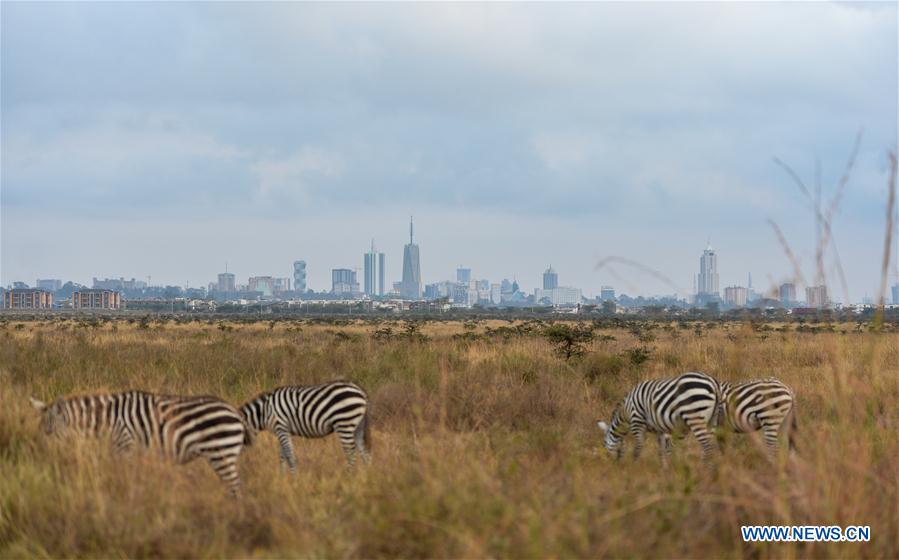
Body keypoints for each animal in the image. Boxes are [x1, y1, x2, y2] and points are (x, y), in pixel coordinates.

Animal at [29, 392, 250, 496]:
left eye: (50, 432)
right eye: (42, 431)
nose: (41, 456)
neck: (107, 420)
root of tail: (235, 412)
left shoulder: (125, 446)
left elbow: (125, 479)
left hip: (222, 452)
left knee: (235, 485)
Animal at [239, 380, 372, 472]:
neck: (265, 412)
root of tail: (361, 391)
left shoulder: (281, 427)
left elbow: (289, 456)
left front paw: (294, 479)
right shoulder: (283, 431)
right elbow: (282, 456)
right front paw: (283, 478)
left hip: (344, 423)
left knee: (350, 453)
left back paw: (349, 477)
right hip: (357, 426)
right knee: (364, 452)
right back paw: (367, 477)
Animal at [596, 372, 724, 464]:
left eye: (603, 443)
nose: (614, 464)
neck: (626, 411)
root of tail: (714, 383)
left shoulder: (637, 421)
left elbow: (638, 446)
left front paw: (633, 466)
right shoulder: (660, 430)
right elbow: (662, 450)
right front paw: (664, 469)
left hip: (694, 417)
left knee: (707, 446)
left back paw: (704, 470)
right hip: (712, 419)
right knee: (710, 445)